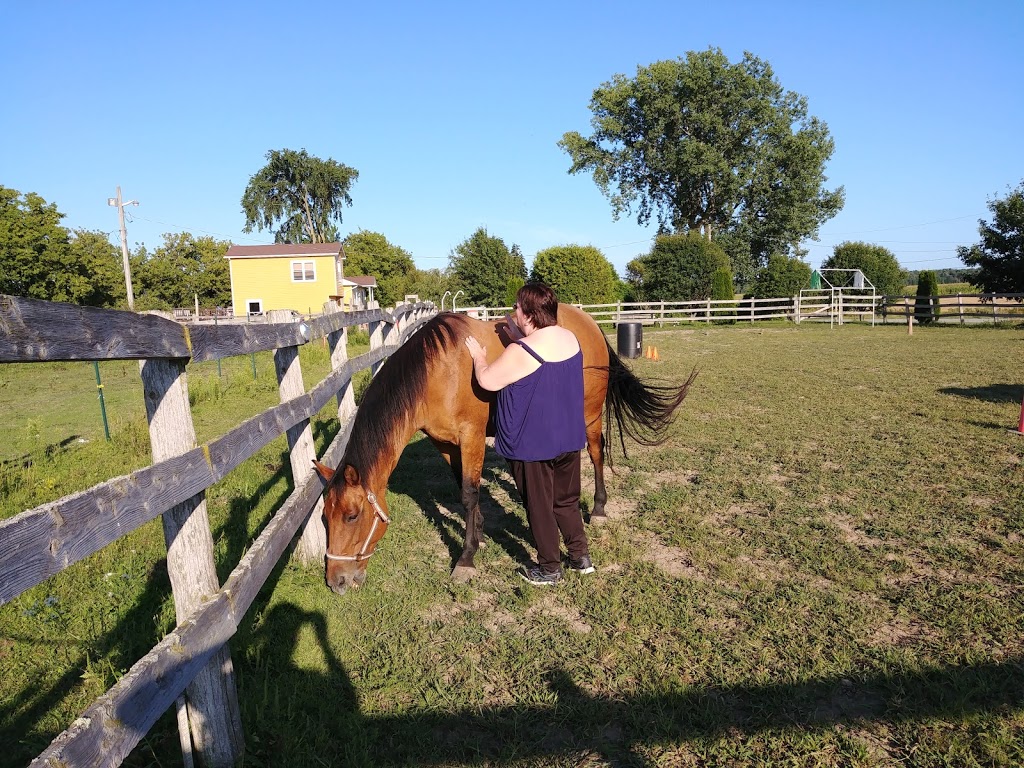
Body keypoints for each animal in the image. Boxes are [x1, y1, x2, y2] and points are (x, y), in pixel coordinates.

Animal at [311, 307, 696, 593]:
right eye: (324, 517)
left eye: (351, 516)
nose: (336, 582)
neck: (437, 372)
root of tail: (589, 323)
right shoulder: (446, 443)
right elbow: (465, 488)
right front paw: (480, 535)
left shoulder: (471, 436)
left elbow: (468, 492)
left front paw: (466, 558)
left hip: (589, 414)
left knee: (596, 453)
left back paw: (599, 507)